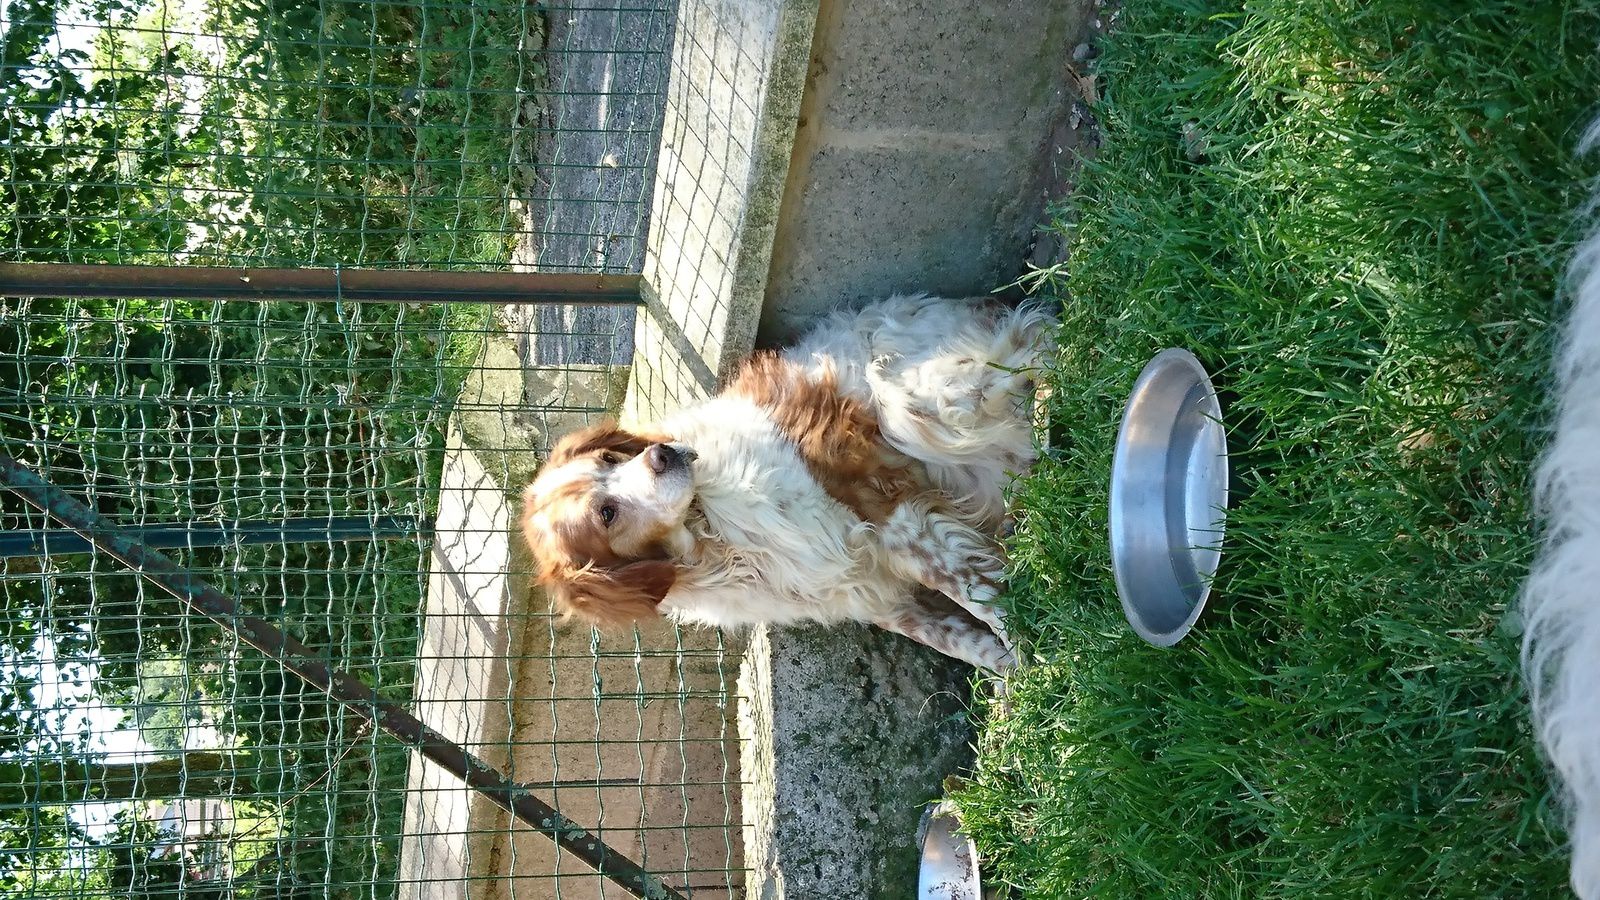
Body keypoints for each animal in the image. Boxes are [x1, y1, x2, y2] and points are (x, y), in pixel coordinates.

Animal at [515, 291, 1049, 669]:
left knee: (1040, 347)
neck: (715, 531)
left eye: (610, 456)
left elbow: (982, 599)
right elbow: (966, 641)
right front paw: (1017, 681)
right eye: (606, 514)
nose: (662, 454)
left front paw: (1042, 655)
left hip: (921, 403)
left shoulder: (890, 513)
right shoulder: (865, 592)